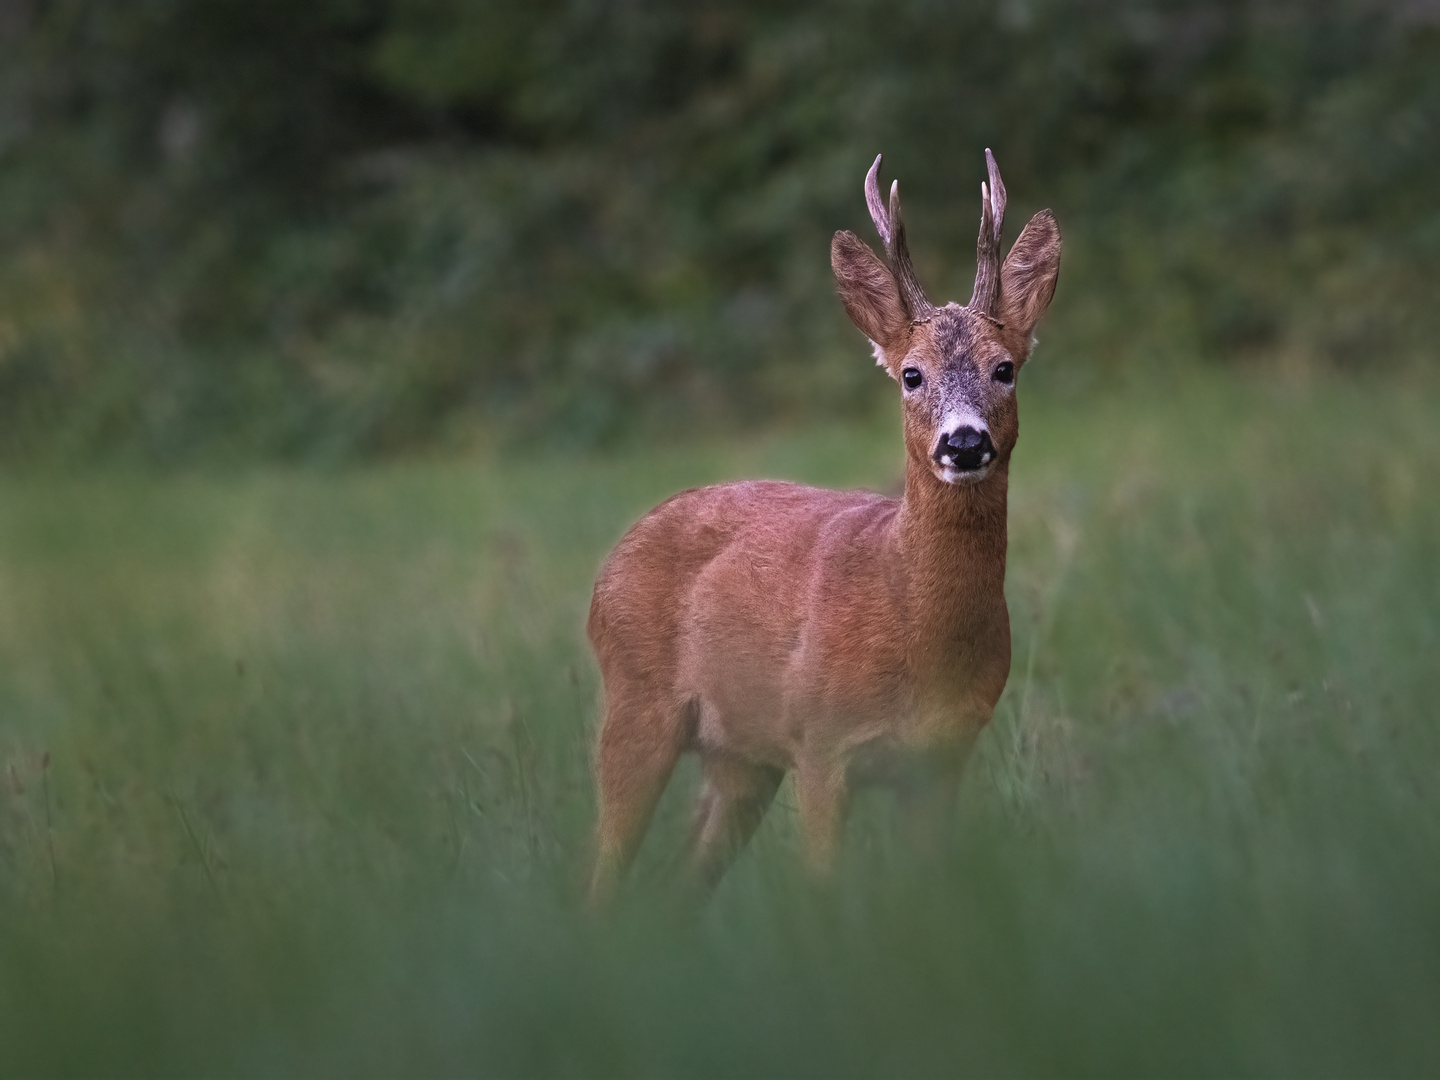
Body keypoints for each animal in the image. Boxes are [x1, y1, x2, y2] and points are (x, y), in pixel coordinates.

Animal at [581, 148, 1059, 898]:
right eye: (911, 375)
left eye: (1005, 368)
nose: (964, 442)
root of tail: (611, 563)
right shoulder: (819, 744)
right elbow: (822, 894)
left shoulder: (943, 759)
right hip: (636, 700)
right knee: (600, 880)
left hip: (740, 758)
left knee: (680, 883)